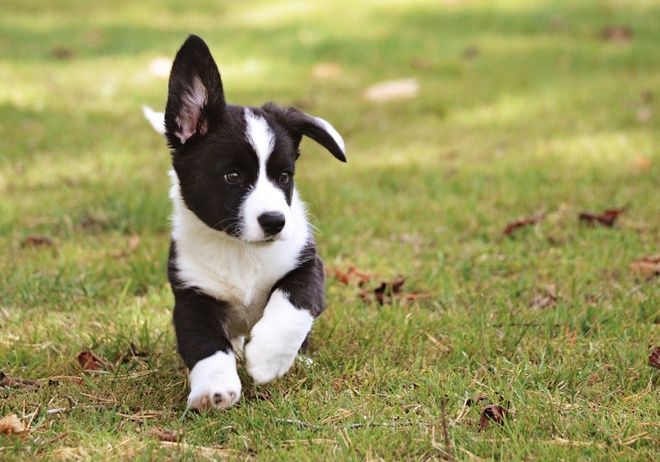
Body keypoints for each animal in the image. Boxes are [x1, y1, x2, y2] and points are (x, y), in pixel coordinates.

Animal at [146, 36, 346, 412]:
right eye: (233, 176)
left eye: (283, 176)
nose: (275, 222)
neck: (240, 250)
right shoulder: (192, 294)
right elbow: (206, 344)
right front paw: (214, 389)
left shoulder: (308, 266)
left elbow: (292, 306)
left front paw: (268, 359)